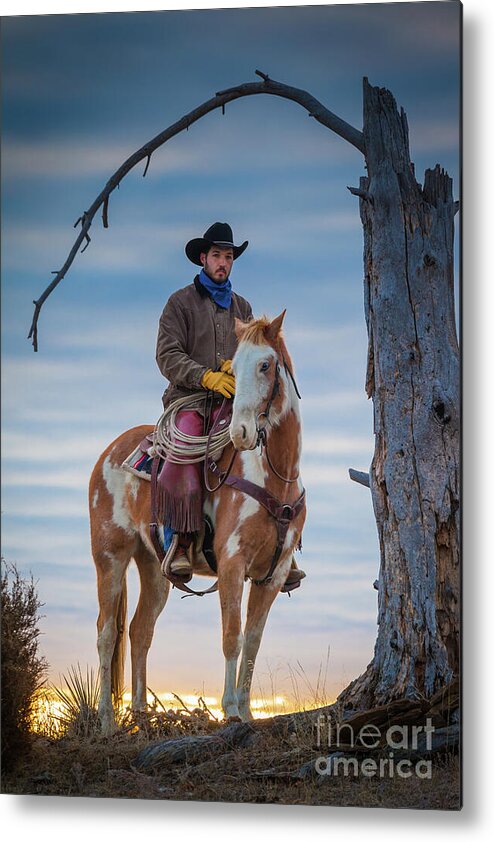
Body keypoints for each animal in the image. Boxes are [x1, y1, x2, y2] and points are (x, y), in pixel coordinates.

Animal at [89, 312, 304, 732]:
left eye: (265, 365)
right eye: (233, 369)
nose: (240, 433)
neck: (275, 477)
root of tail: (110, 451)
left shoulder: (273, 573)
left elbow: (253, 640)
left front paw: (248, 711)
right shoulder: (233, 563)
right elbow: (231, 635)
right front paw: (230, 710)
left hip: (155, 567)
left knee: (140, 630)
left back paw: (141, 715)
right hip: (110, 558)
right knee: (107, 633)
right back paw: (106, 720)